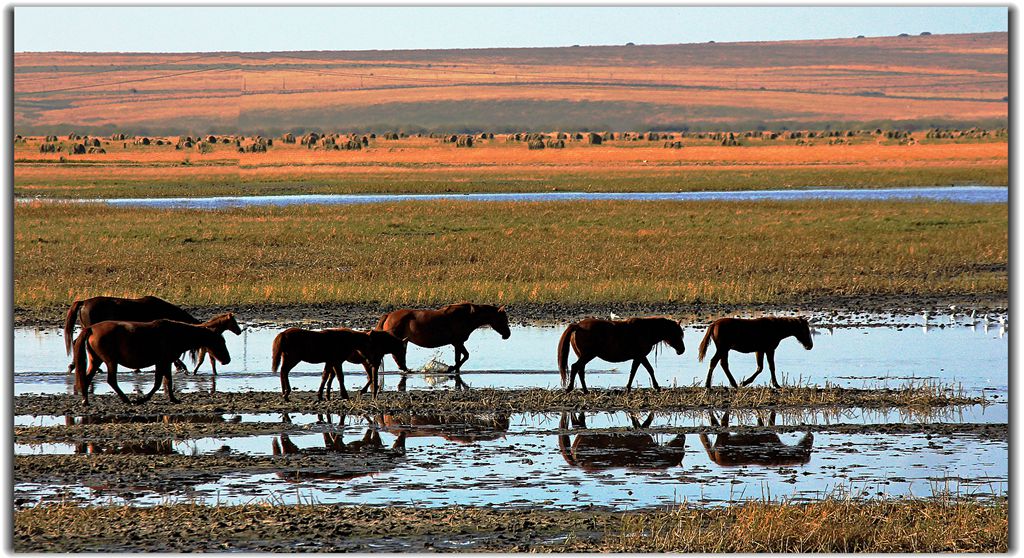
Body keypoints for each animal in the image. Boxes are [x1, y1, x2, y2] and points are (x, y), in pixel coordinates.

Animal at [72, 317, 230, 405]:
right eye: (220, 342)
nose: (227, 360)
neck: (175, 334)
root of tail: (91, 329)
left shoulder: (165, 363)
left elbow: (167, 381)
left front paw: (173, 399)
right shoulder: (162, 362)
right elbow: (159, 383)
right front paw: (142, 400)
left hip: (96, 360)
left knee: (86, 378)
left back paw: (85, 401)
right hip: (111, 361)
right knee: (111, 380)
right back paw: (127, 400)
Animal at [272, 325, 407, 401]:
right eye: (371, 345)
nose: (374, 361)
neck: (345, 340)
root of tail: (282, 334)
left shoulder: (330, 361)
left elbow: (326, 376)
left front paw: (321, 395)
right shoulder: (337, 361)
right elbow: (340, 377)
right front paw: (344, 395)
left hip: (288, 358)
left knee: (283, 372)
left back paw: (285, 393)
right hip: (292, 358)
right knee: (284, 371)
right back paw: (286, 393)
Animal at [374, 303, 509, 384]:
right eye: (503, 319)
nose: (507, 334)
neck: (467, 316)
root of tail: (389, 315)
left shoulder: (457, 344)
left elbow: (459, 358)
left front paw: (454, 370)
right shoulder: (457, 342)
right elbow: (465, 356)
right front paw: (450, 368)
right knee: (398, 357)